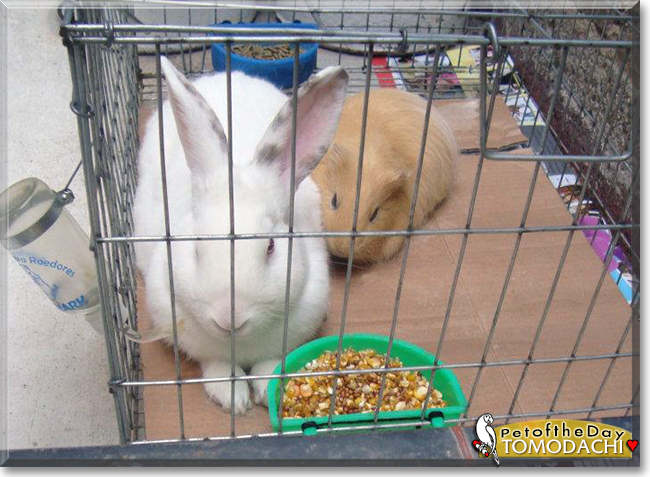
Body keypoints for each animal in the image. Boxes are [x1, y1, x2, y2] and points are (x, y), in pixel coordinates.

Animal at [132, 56, 350, 412]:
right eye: (196, 247)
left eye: (271, 247)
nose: (229, 318)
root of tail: (227, 75)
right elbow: (217, 366)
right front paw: (233, 399)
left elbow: (269, 364)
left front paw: (262, 389)